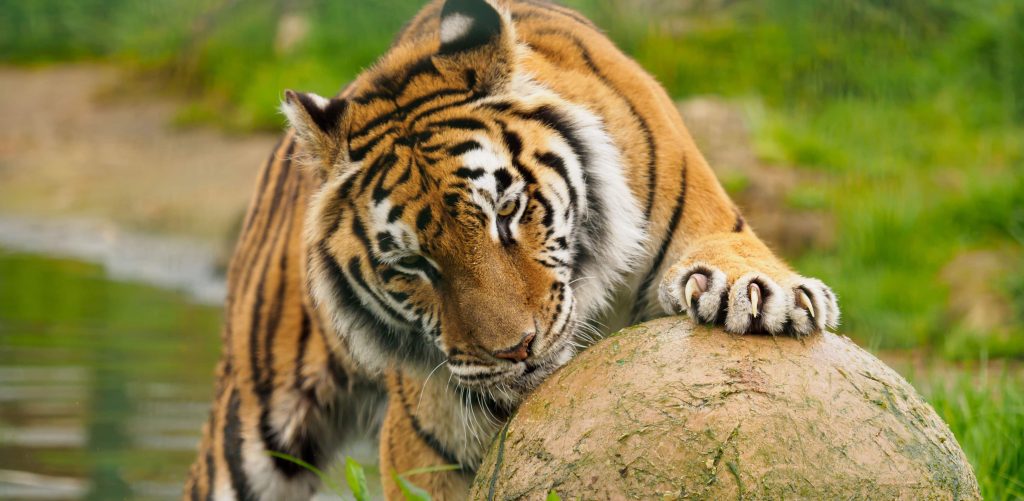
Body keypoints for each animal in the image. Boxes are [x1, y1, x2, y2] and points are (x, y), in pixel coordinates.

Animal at [184, 0, 840, 499]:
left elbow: (731, 251)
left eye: (506, 213)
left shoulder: (708, 220)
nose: (515, 350)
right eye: (412, 265)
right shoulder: (423, 447)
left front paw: (757, 294)